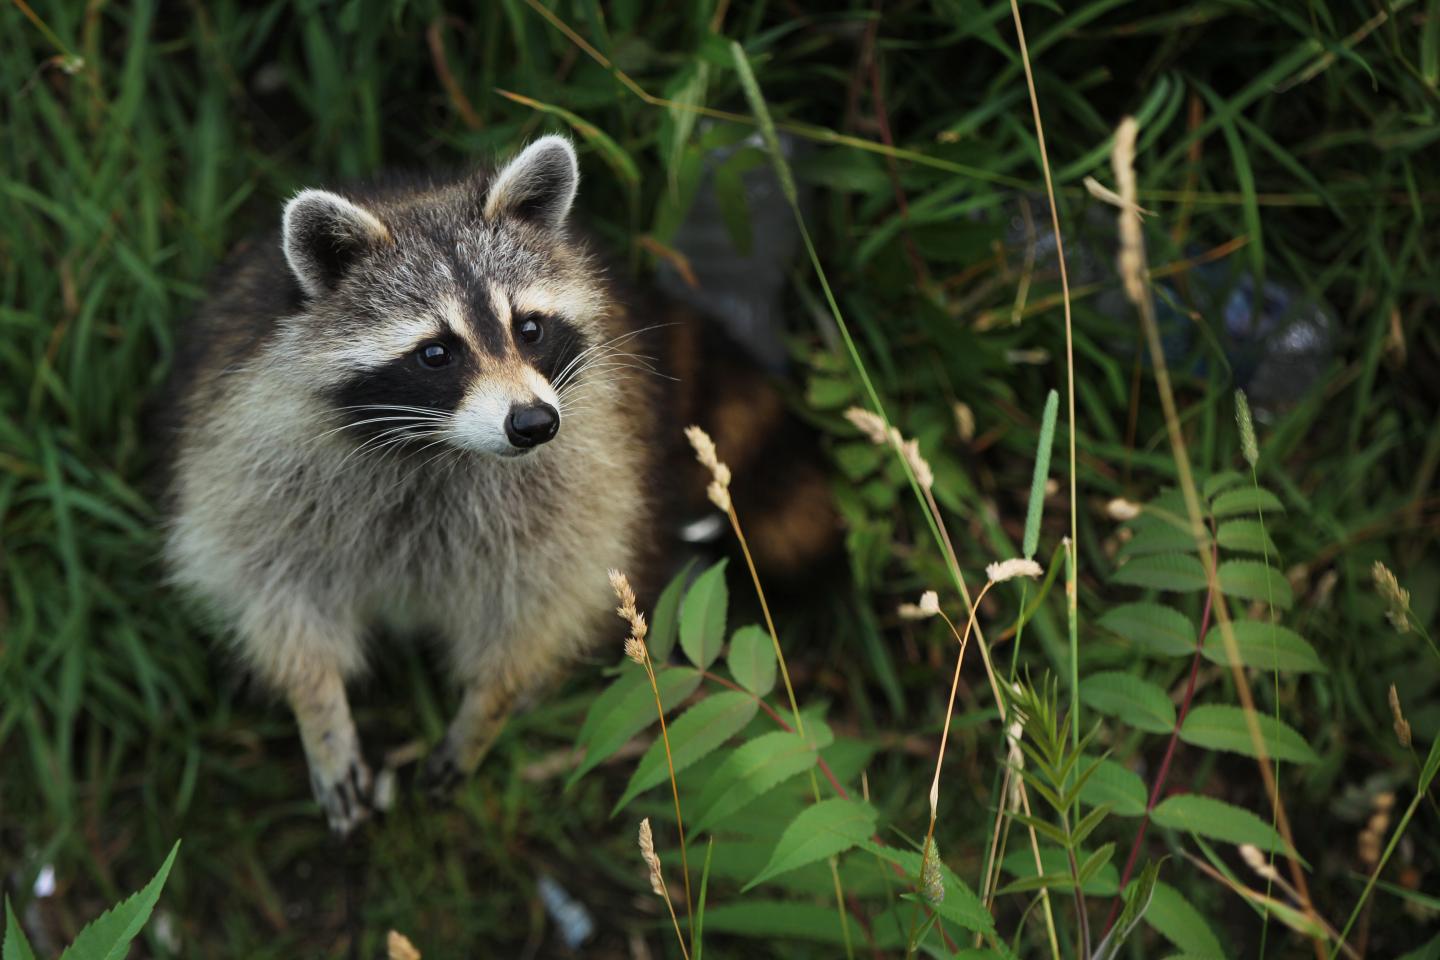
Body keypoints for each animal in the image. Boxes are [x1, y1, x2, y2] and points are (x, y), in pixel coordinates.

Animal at [163, 136, 834, 833]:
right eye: (436, 353)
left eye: (529, 329)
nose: (534, 423)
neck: (439, 449)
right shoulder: (255, 454)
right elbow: (274, 588)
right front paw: (319, 710)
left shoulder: (583, 470)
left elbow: (542, 597)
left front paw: (490, 705)